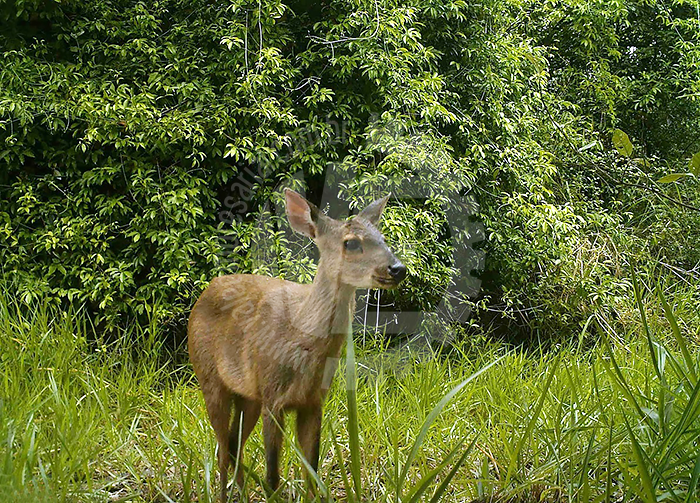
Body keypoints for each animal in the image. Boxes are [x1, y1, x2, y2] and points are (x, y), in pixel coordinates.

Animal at [189, 188, 408, 500]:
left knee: (233, 445)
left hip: (248, 394)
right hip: (209, 378)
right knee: (221, 449)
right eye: (351, 243)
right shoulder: (273, 397)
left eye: (382, 237)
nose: (397, 268)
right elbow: (272, 475)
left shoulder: (313, 401)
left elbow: (312, 471)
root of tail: (206, 290)